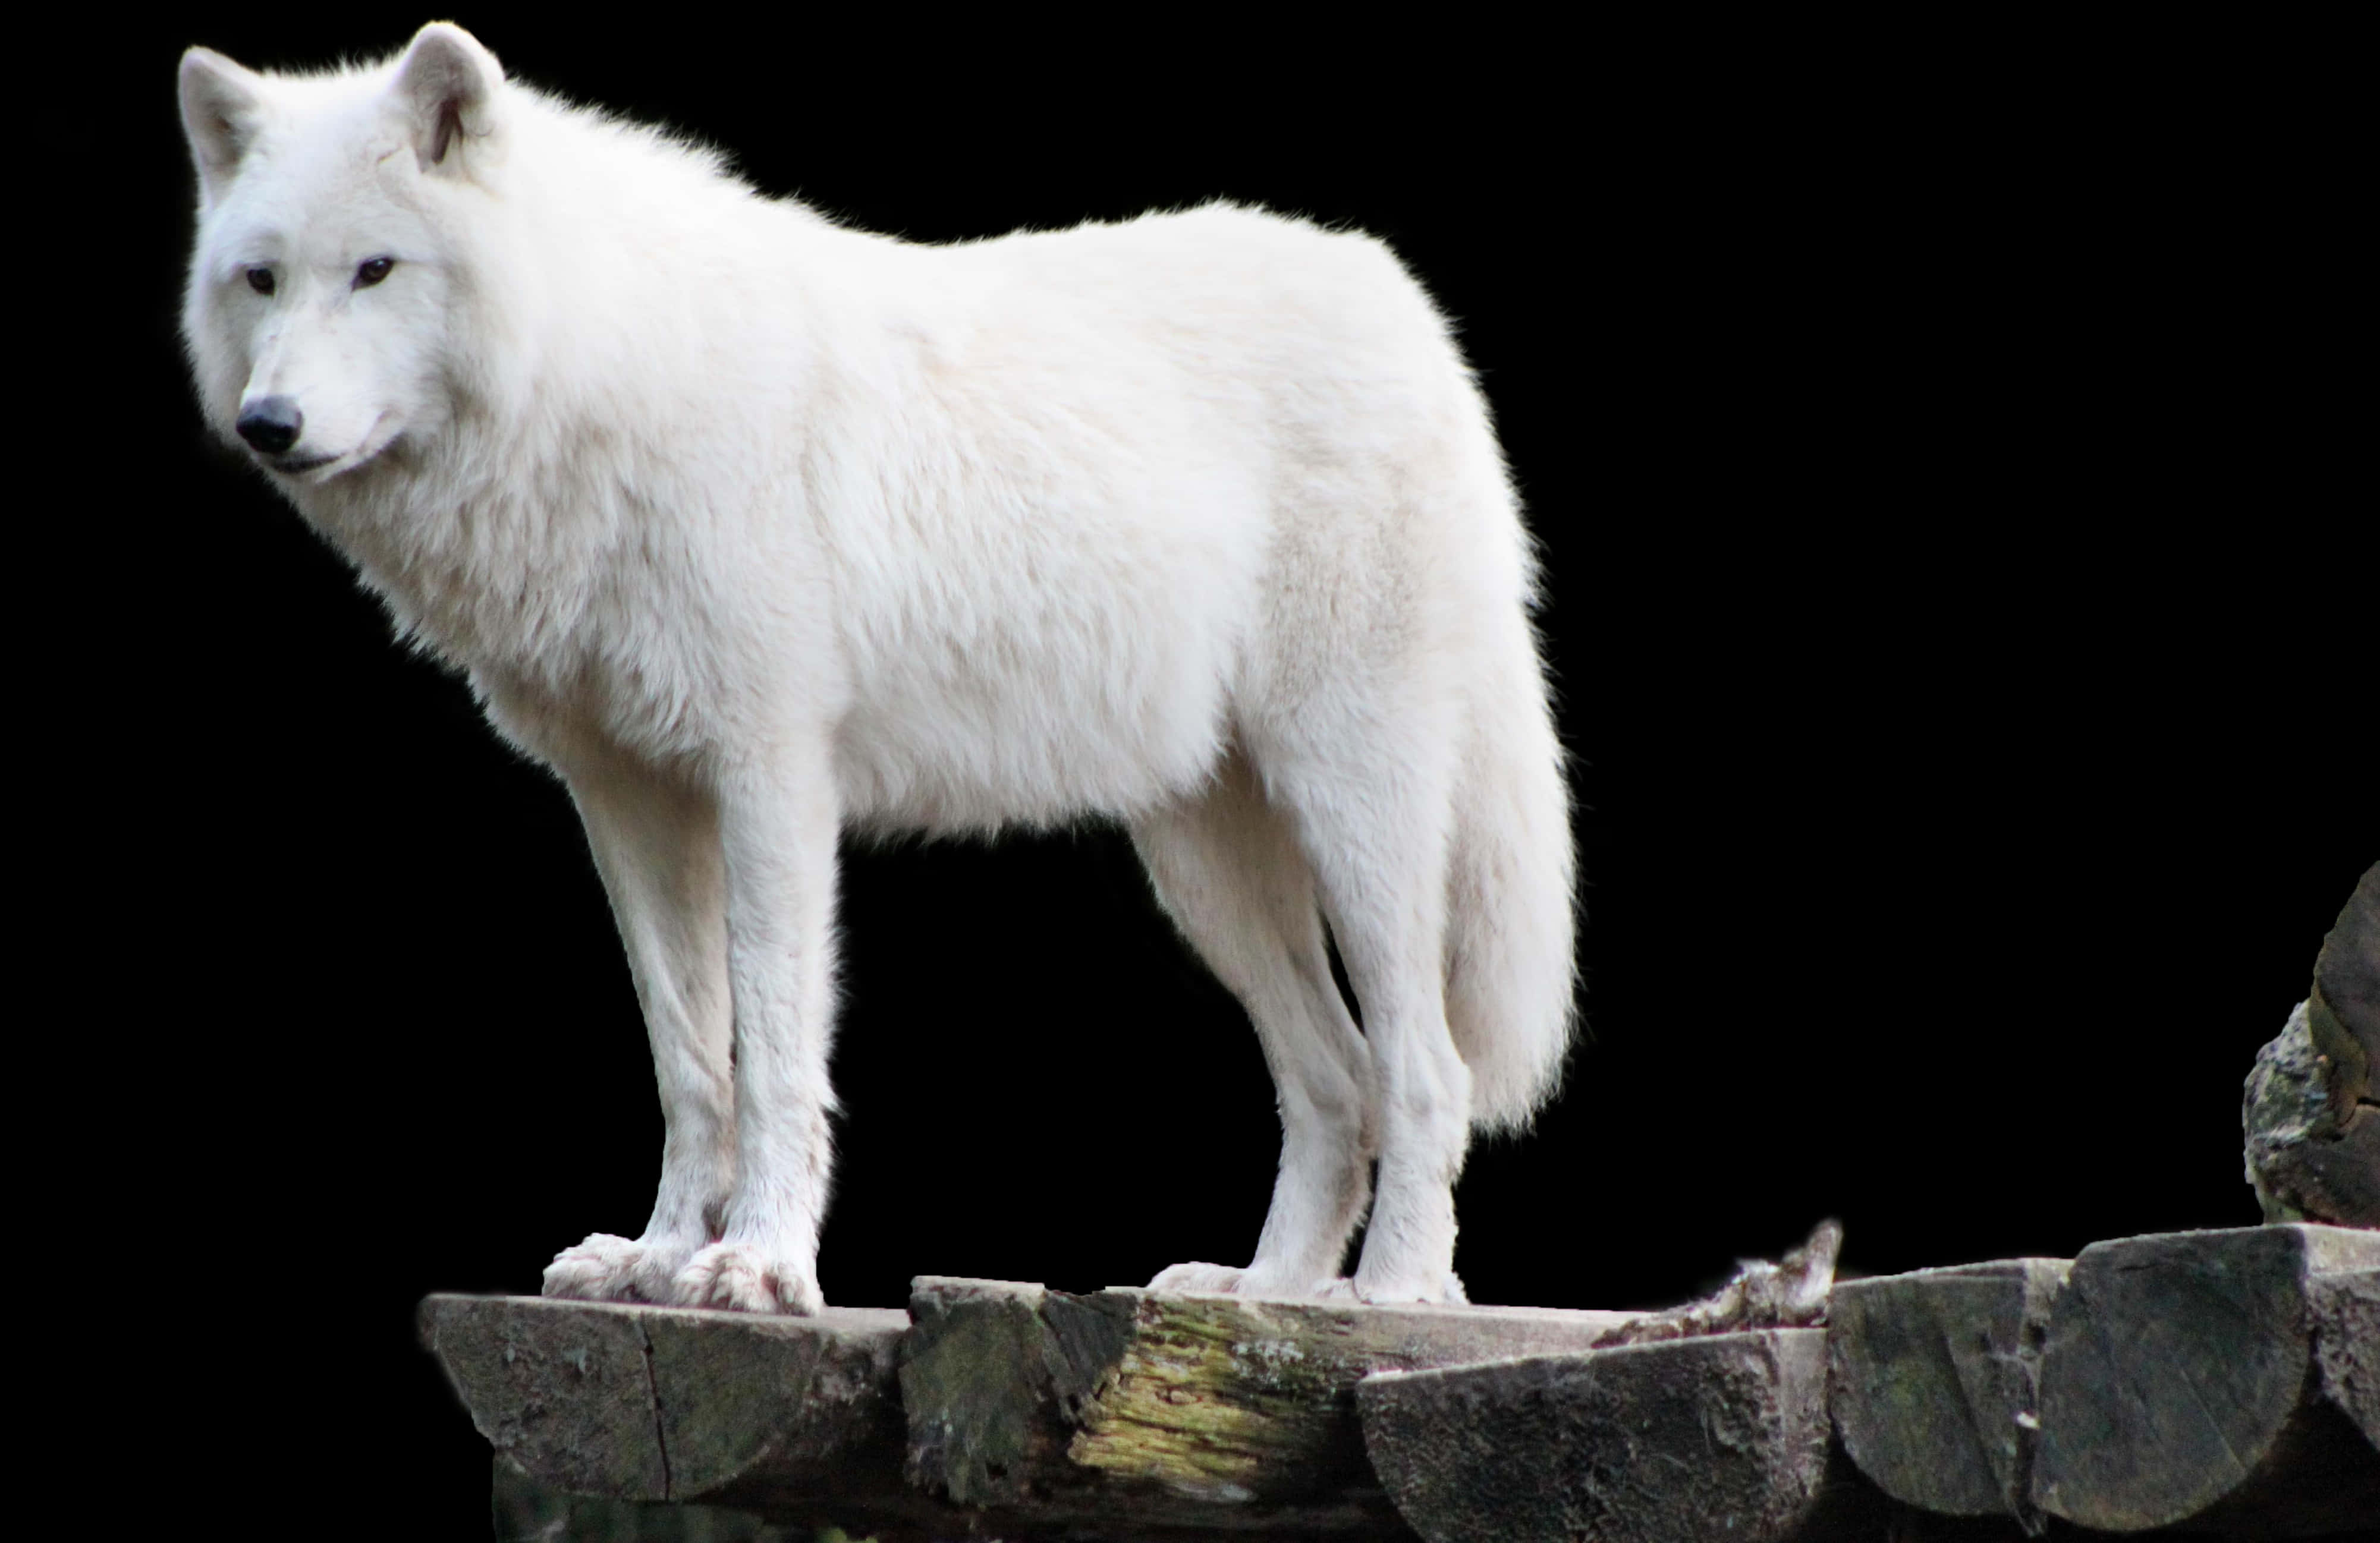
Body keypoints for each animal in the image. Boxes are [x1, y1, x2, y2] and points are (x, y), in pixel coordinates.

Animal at [181, 21, 1580, 1312]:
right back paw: (1263, 1292)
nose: (270, 424)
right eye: (261, 280)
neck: (603, 376)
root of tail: (1399, 300)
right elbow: (688, 1059)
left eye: (375, 270)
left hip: (1354, 814)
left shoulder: (771, 778)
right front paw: (656, 1257)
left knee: (1426, 1068)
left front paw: (757, 1265)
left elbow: (773, 1051)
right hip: (1204, 865)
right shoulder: (629, 800)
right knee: (1335, 1082)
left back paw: (1392, 1296)